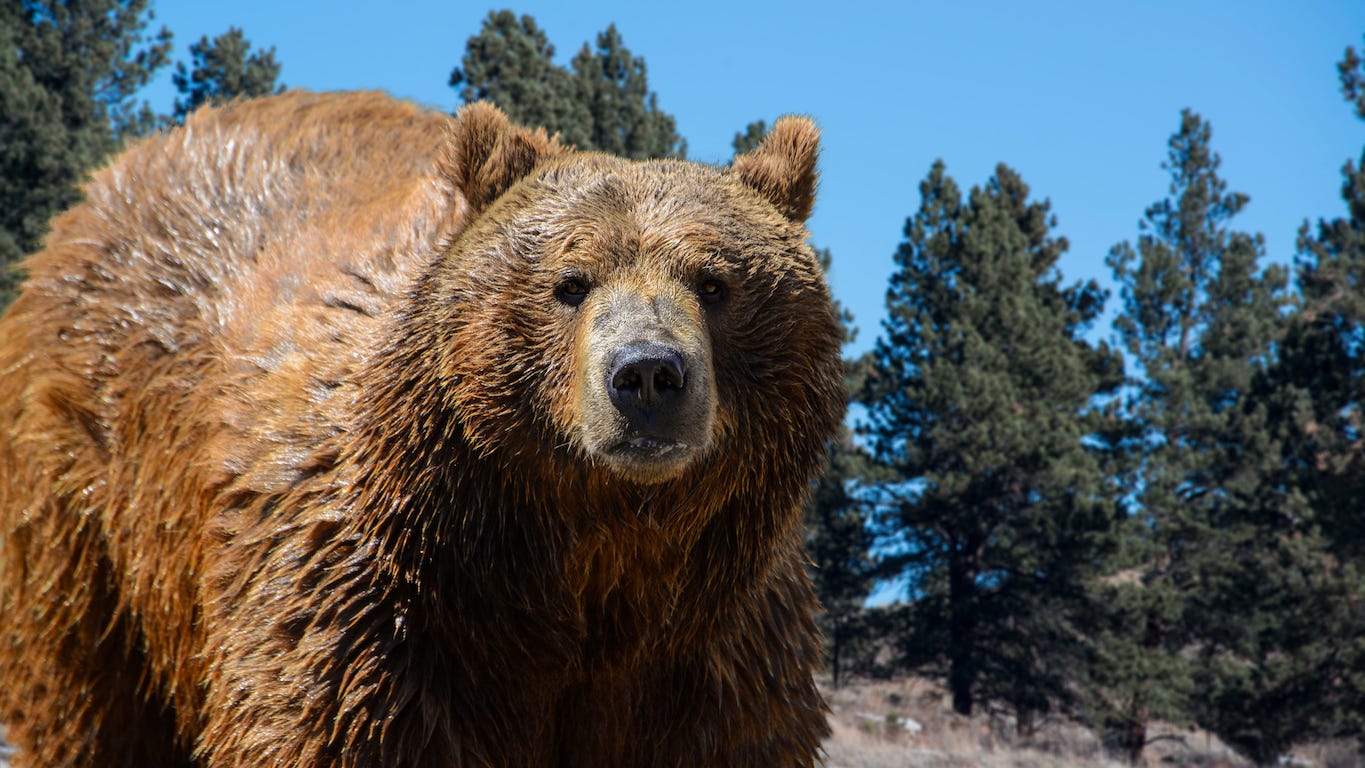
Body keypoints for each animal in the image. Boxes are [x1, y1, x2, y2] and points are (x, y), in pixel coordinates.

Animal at [0, 90, 844, 767]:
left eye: (715, 282)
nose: (646, 375)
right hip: (94, 514)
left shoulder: (719, 656)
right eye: (569, 283)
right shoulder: (374, 627)